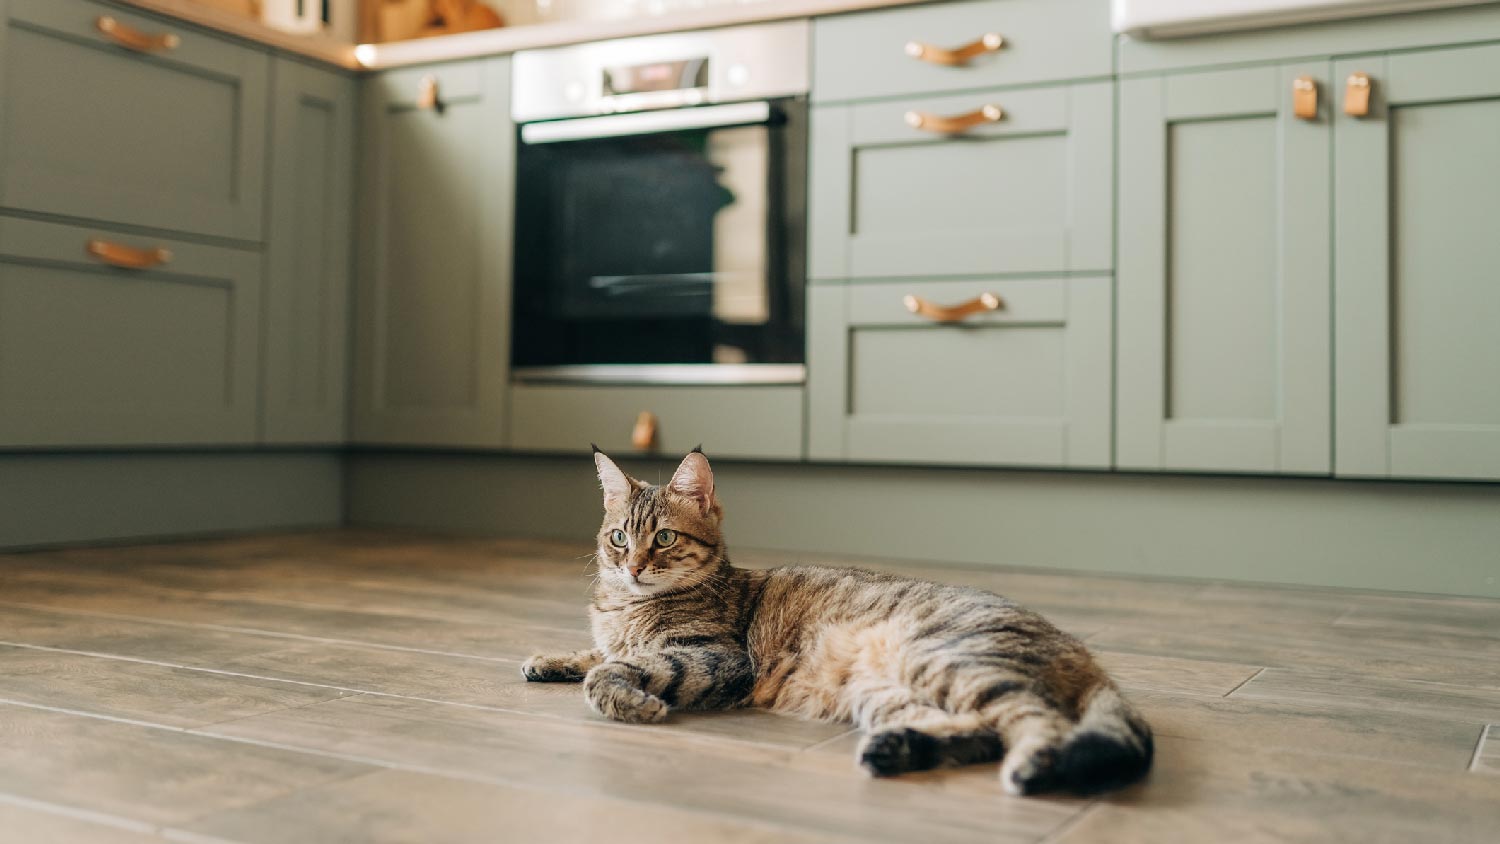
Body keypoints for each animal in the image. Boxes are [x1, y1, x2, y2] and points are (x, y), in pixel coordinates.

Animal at [522, 446, 1152, 797]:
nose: (630, 566)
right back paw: (895, 750)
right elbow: (596, 654)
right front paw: (548, 659)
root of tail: (1078, 650)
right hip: (886, 691)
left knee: (1034, 723)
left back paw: (1031, 768)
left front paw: (631, 699)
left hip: (947, 660)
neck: (625, 607)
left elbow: (610, 670)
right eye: (618, 537)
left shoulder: (716, 656)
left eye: (665, 538)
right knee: (979, 732)